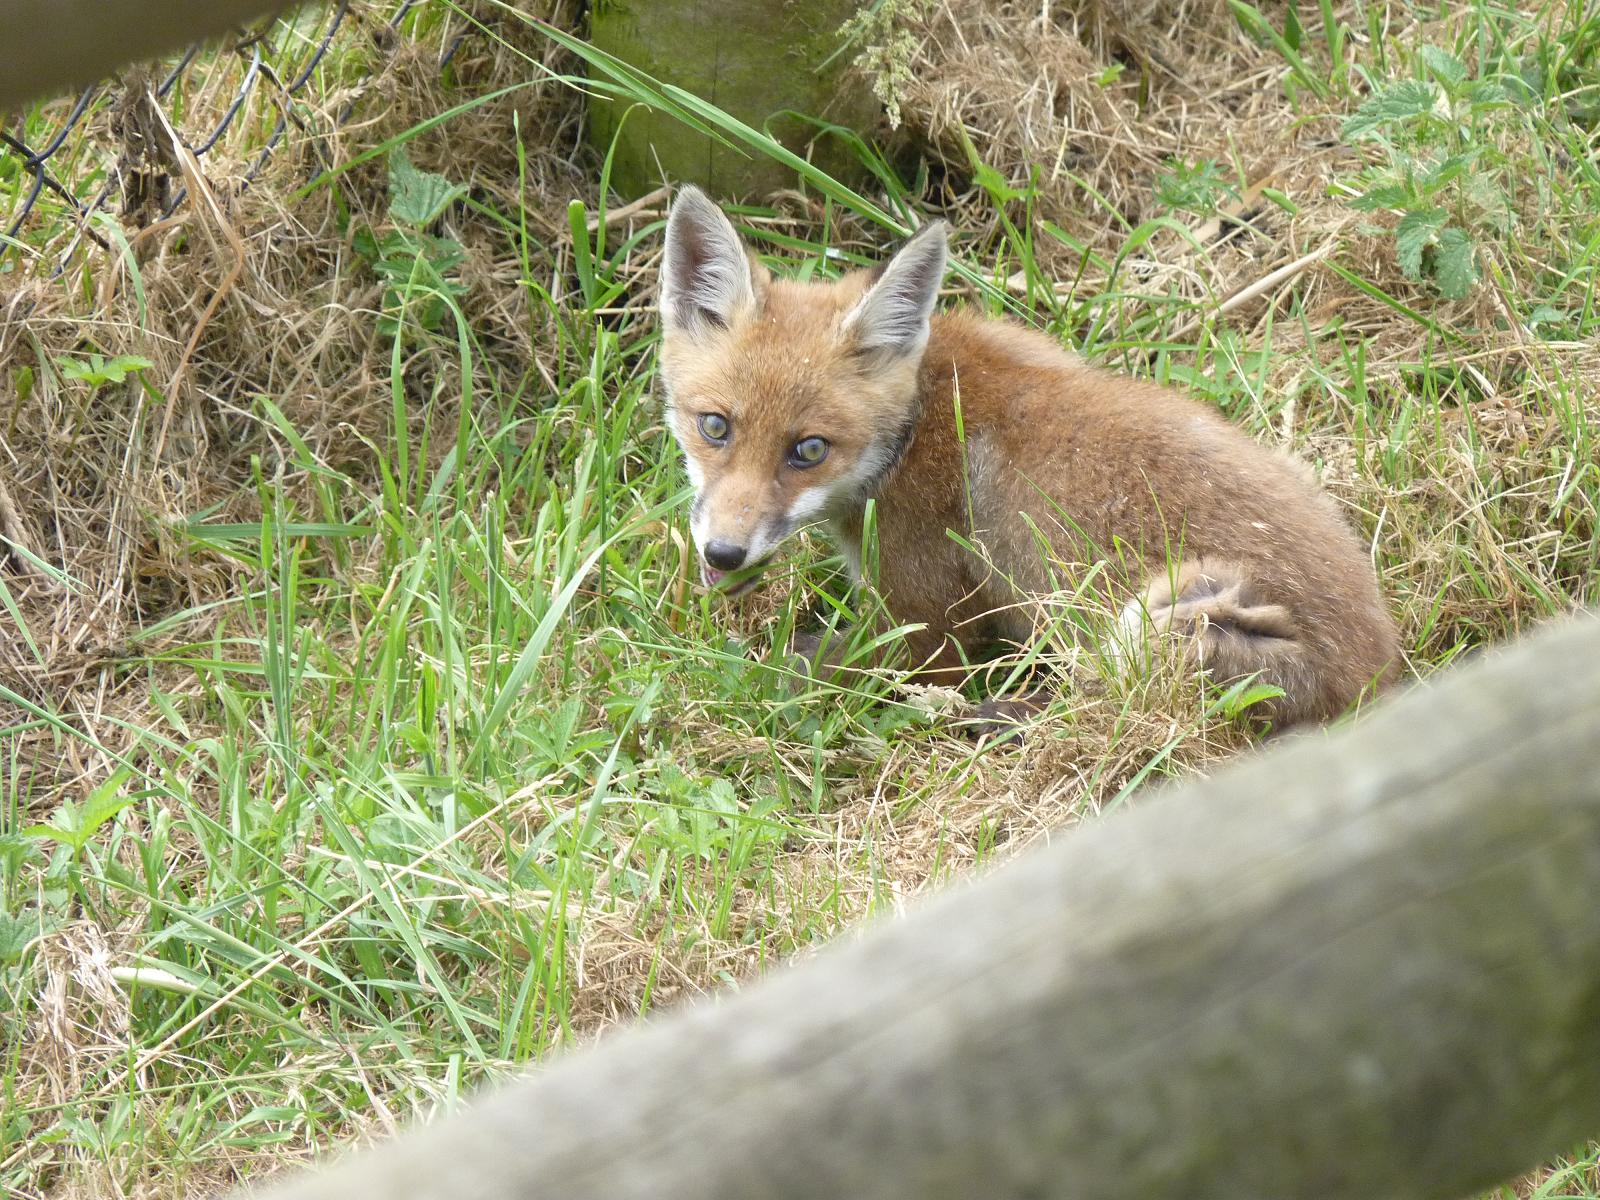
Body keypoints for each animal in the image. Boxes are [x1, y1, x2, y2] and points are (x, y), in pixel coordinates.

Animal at [657, 186, 1400, 728]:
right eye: (715, 427)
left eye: (808, 450)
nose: (724, 553)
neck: (916, 423)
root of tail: (1383, 671)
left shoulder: (929, 627)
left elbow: (797, 671)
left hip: (1169, 612)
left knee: (1101, 702)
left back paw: (1002, 715)